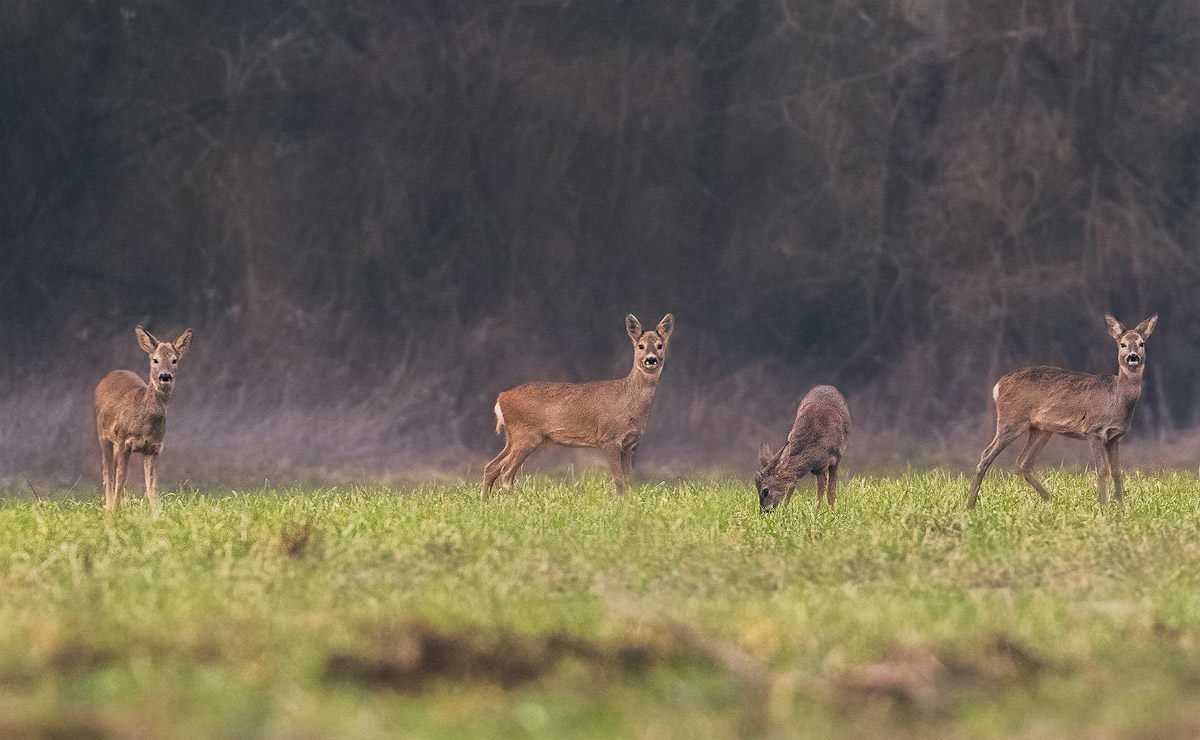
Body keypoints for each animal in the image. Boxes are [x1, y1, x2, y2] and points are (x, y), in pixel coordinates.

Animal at [94, 323, 193, 513]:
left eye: (174, 360)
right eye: (155, 360)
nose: (165, 376)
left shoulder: (154, 448)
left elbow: (152, 485)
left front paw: (158, 514)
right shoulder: (124, 440)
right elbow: (121, 476)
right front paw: (115, 511)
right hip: (103, 435)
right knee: (108, 471)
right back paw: (108, 505)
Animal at [484, 314, 676, 494]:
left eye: (660, 345)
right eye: (640, 346)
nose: (651, 359)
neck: (629, 401)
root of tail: (501, 398)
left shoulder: (630, 443)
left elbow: (629, 478)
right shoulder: (608, 437)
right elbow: (618, 479)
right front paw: (619, 503)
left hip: (512, 437)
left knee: (492, 467)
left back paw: (485, 500)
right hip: (525, 434)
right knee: (506, 472)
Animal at [964, 311, 1152, 508]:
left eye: (1142, 343)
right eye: (1122, 344)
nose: (1133, 357)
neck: (1116, 398)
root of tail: (998, 386)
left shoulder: (1115, 437)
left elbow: (1117, 471)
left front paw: (1121, 506)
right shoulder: (1093, 430)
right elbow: (1102, 470)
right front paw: (1104, 506)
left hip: (1041, 429)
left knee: (1022, 462)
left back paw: (1050, 499)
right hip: (1011, 420)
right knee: (987, 455)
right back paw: (970, 505)